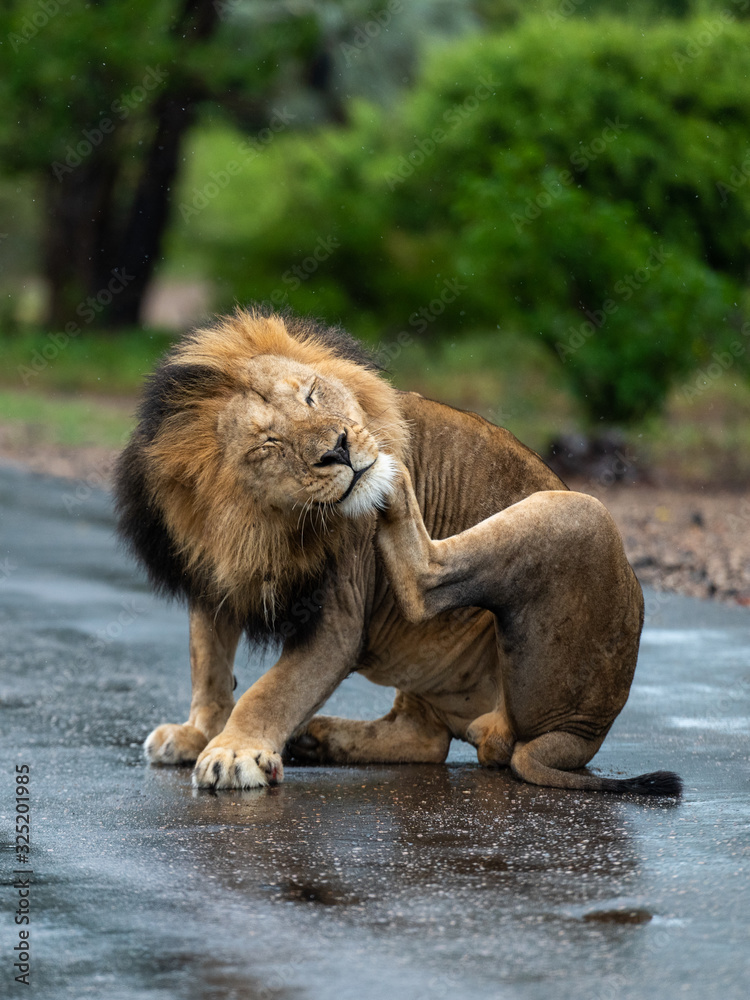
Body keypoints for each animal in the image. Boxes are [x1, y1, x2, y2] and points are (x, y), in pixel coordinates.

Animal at [114, 307, 681, 796]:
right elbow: (208, 663)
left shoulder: (339, 616)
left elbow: (271, 690)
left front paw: (233, 752)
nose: (339, 448)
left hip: (582, 512)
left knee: (427, 582)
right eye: (268, 444)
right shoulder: (210, 573)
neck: (255, 523)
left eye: (312, 396)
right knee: (425, 739)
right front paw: (197, 733)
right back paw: (315, 738)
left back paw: (388, 472)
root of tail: (579, 734)